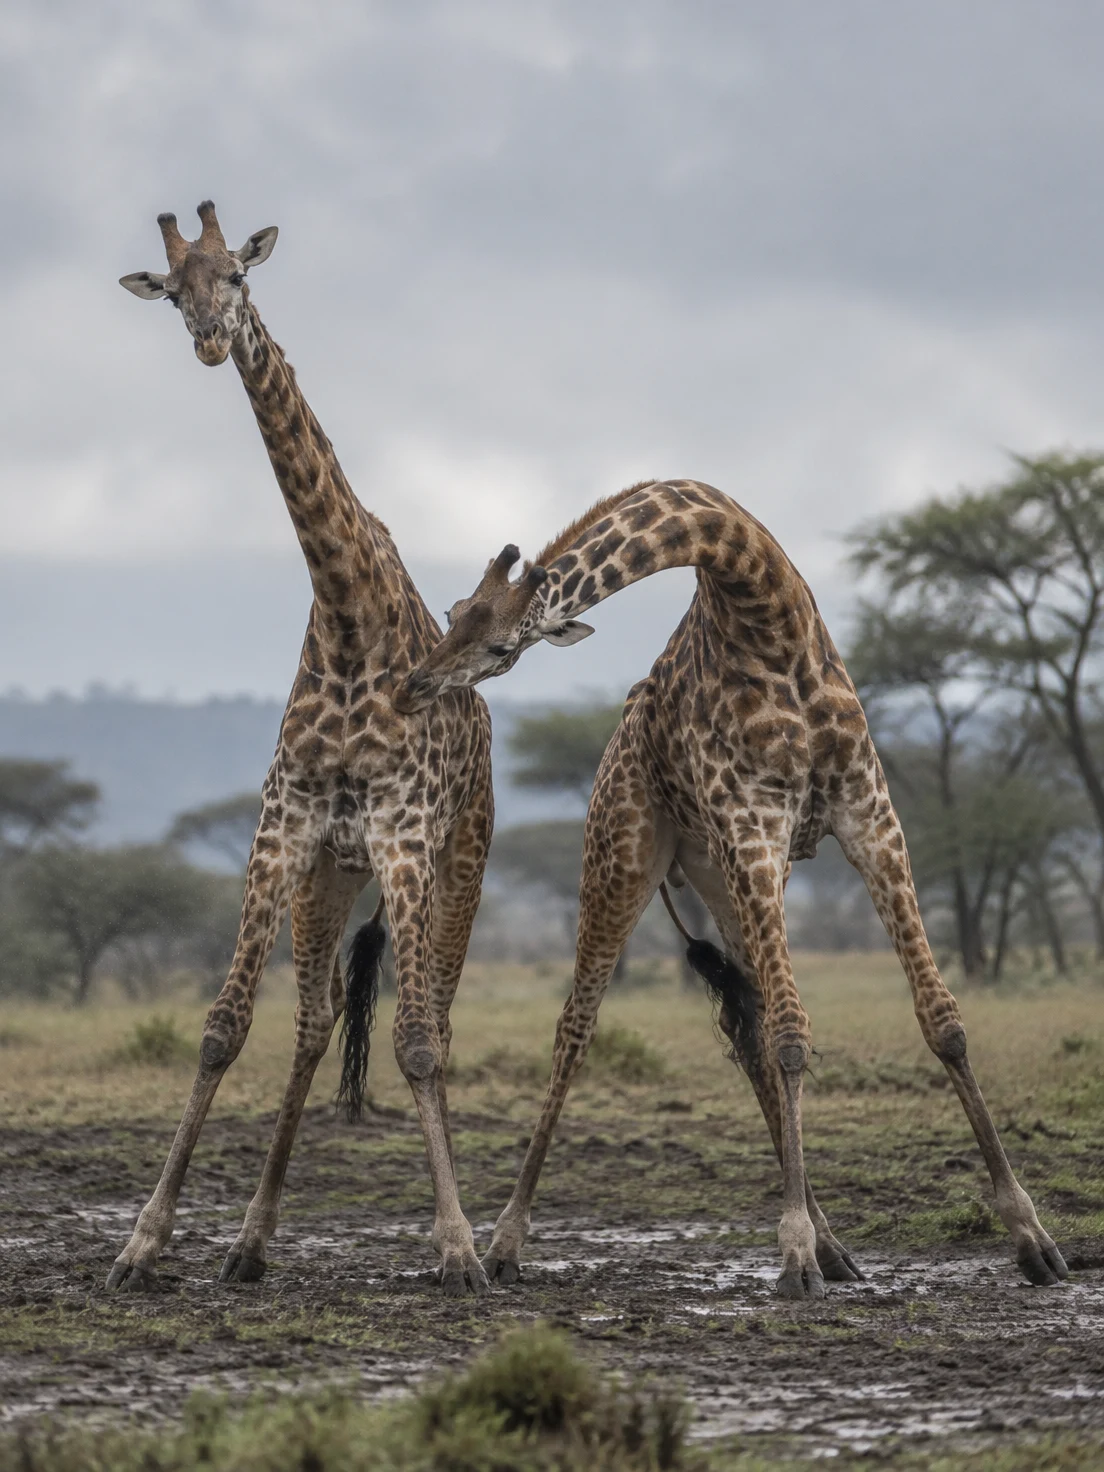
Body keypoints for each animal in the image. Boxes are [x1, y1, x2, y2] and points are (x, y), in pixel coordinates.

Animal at [112, 202, 494, 1296]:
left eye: (238, 276)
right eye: (173, 287)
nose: (209, 338)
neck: (347, 612)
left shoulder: (406, 838)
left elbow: (415, 1042)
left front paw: (457, 1248)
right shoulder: (283, 830)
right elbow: (221, 1028)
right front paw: (144, 1241)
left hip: (461, 859)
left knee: (436, 1018)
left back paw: (471, 1239)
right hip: (333, 872)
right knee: (319, 1018)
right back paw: (250, 1240)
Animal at [394, 478, 1068, 1298]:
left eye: (499, 643)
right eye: (454, 611)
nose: (412, 686)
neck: (766, 610)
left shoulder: (870, 817)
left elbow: (940, 1021)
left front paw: (1033, 1238)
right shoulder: (755, 826)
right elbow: (792, 1037)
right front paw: (793, 1252)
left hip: (724, 882)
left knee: (746, 1030)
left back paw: (834, 1246)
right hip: (624, 861)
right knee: (576, 1033)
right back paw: (503, 1244)